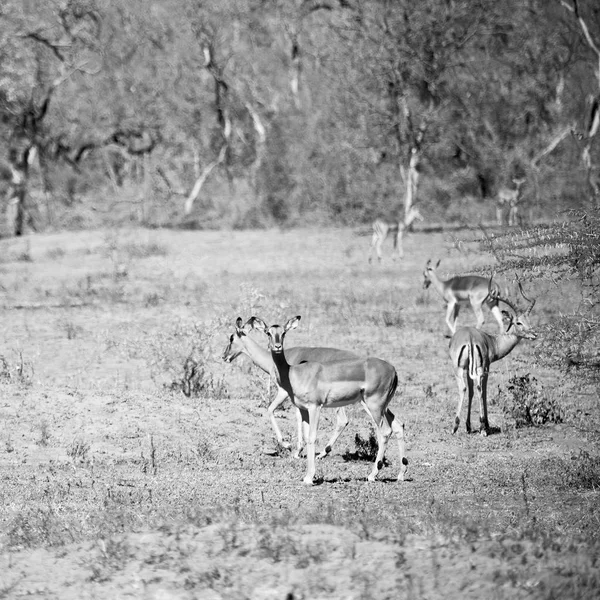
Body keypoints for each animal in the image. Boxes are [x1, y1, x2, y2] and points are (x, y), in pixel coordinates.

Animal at [224, 318, 356, 460]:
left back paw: (322, 453)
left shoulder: (284, 392)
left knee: (343, 420)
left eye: (231, 338)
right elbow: (299, 416)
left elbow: (273, 410)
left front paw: (291, 447)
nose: (224, 356)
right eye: (268, 332)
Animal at [248, 316, 408, 486]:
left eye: (283, 332)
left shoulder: (315, 407)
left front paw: (309, 477)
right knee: (398, 426)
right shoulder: (304, 410)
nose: (277, 346)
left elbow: (312, 437)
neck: (293, 373)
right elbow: (307, 438)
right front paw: (306, 474)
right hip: (381, 407)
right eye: (268, 332)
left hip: (374, 406)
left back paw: (372, 475)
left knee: (384, 432)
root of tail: (393, 370)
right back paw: (400, 474)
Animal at [448, 282, 536, 436]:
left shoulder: (477, 368)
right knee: (477, 389)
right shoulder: (482, 368)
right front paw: (476, 425)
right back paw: (477, 427)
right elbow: (479, 391)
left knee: (467, 388)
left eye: (528, 320)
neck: (492, 342)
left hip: (462, 369)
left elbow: (475, 391)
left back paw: (461, 426)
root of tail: (470, 338)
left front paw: (470, 426)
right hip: (474, 369)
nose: (534, 334)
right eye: (518, 322)